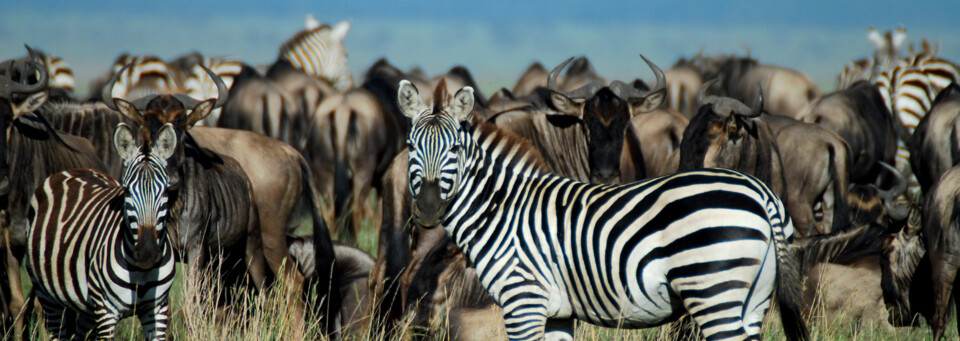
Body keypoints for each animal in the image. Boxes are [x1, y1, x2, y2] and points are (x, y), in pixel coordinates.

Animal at [26, 116, 179, 338]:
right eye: (127, 191)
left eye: (166, 191)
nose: (147, 253)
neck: (140, 272)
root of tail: (74, 170)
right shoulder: (106, 312)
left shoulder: (157, 308)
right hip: (47, 295)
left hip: (87, 308)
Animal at [394, 80, 808, 340]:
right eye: (412, 146)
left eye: (454, 149)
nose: (427, 208)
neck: (503, 210)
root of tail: (761, 193)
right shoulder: (558, 312)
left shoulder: (523, 301)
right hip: (753, 300)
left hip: (713, 290)